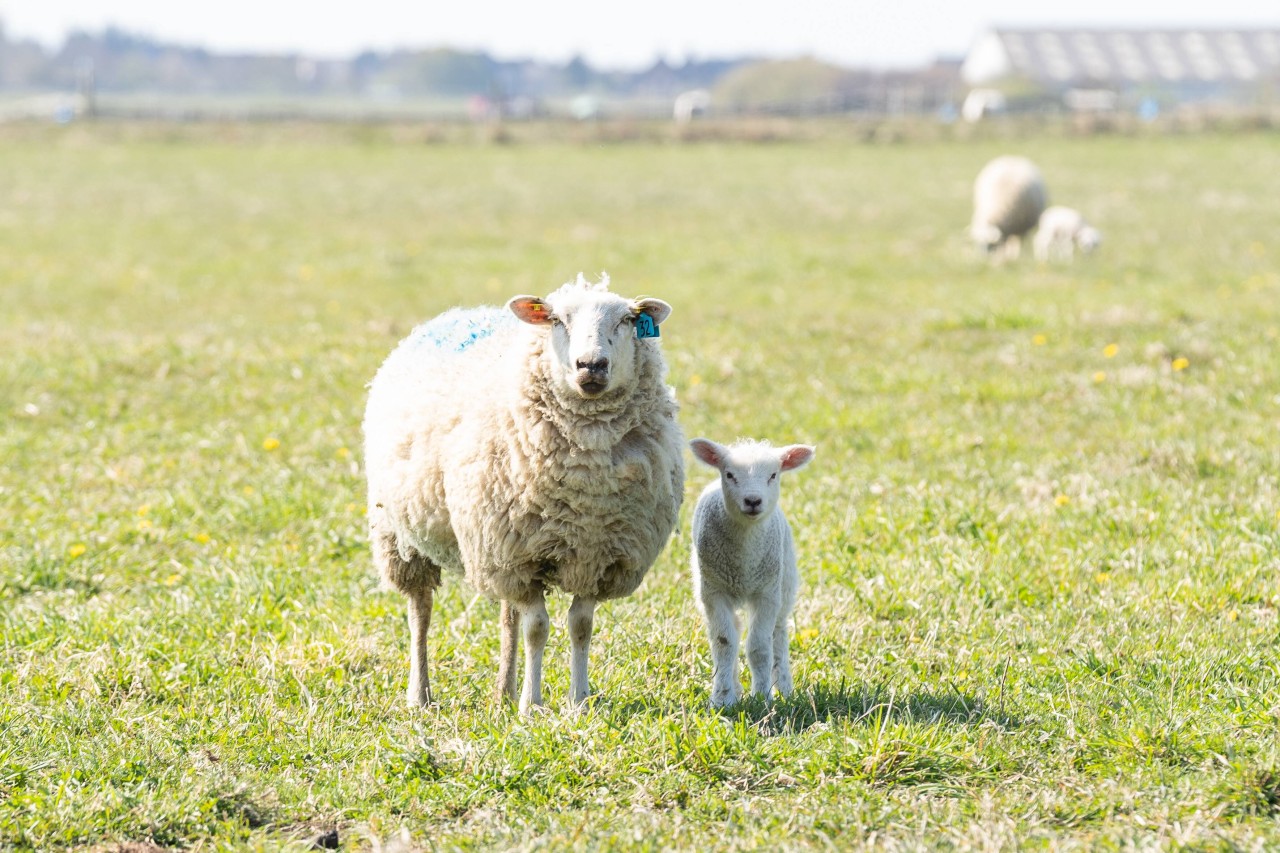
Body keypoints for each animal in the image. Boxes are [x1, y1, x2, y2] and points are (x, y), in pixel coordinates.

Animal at [366, 272, 686, 712]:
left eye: (626, 320)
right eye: (556, 321)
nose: (591, 365)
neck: (586, 481)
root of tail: (461, 313)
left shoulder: (594, 556)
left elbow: (580, 626)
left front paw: (577, 701)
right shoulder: (521, 558)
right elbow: (537, 628)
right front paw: (532, 705)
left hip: (499, 543)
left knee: (507, 615)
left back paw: (503, 690)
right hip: (402, 533)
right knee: (420, 610)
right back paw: (421, 694)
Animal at [686, 438, 814, 701]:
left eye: (773, 475)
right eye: (729, 474)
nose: (753, 501)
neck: (743, 563)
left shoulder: (766, 593)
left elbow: (759, 646)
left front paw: (763, 696)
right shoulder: (714, 592)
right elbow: (724, 642)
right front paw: (723, 698)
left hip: (785, 583)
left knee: (779, 633)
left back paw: (784, 687)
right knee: (732, 633)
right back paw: (734, 687)